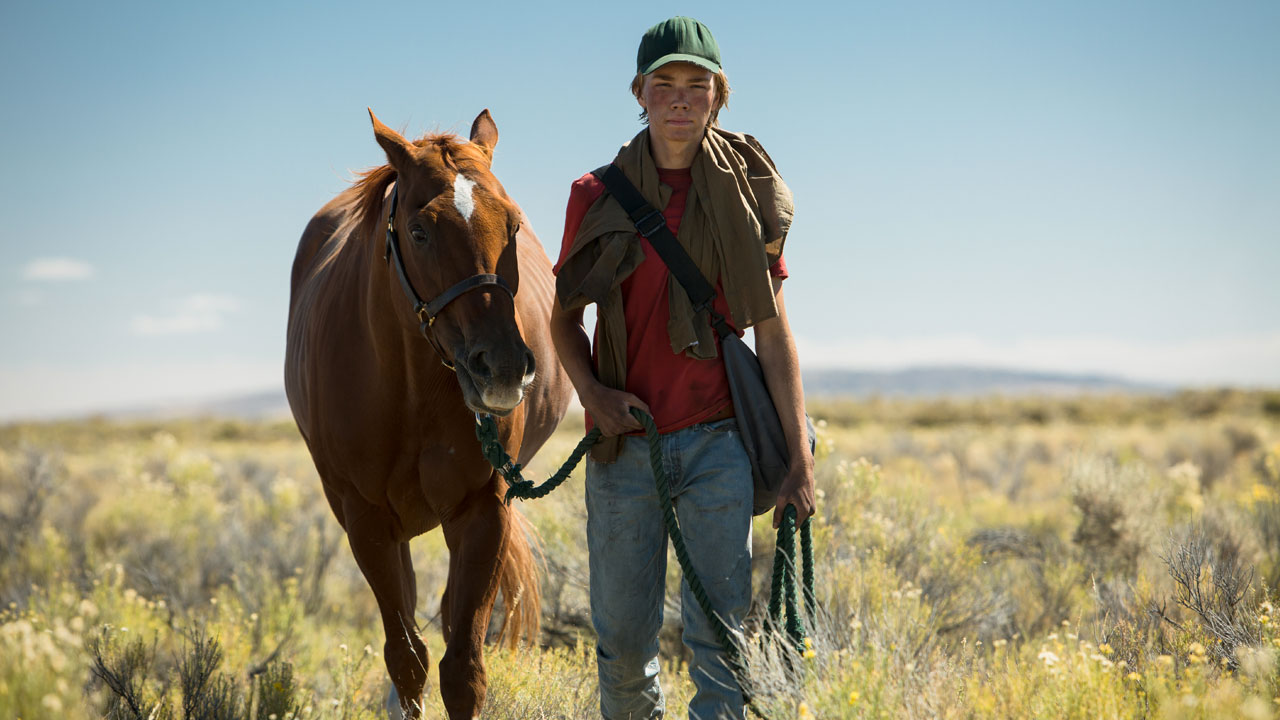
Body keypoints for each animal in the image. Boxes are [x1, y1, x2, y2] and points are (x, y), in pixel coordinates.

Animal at [290, 109, 576, 712]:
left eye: (514, 226)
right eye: (420, 231)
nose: (503, 367)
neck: (408, 390)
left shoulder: (482, 509)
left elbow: (462, 667)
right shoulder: (367, 521)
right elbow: (407, 660)